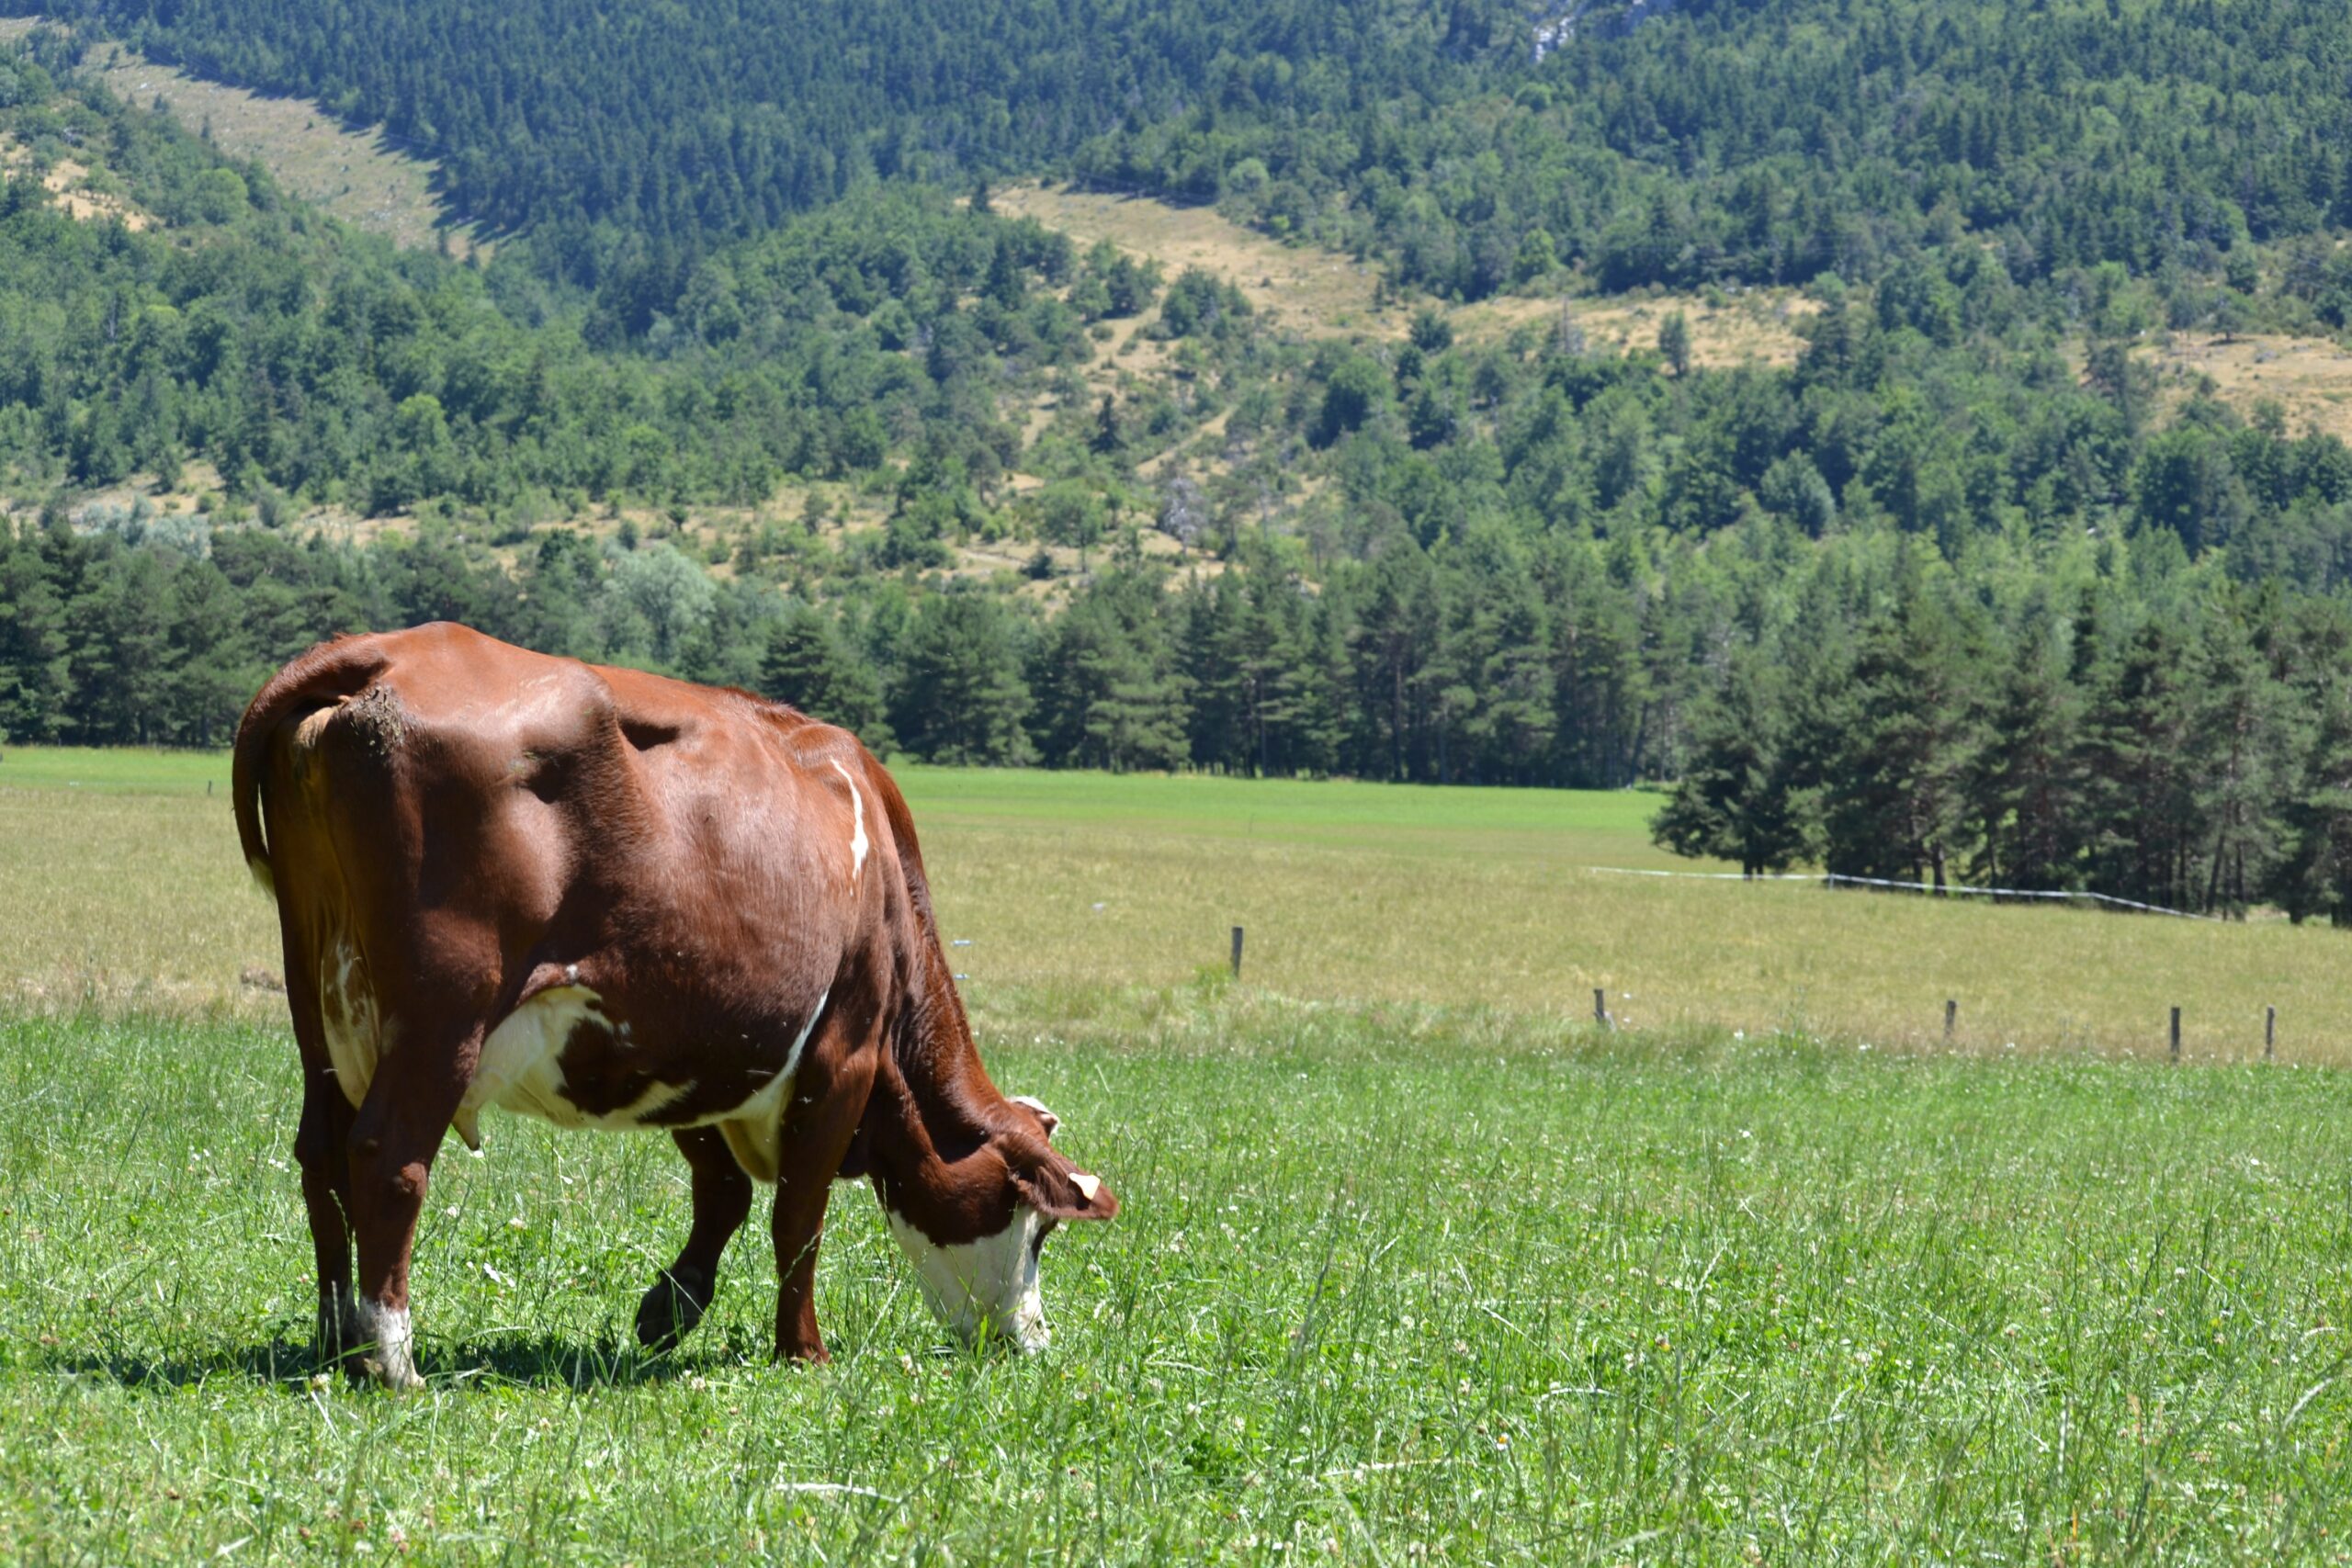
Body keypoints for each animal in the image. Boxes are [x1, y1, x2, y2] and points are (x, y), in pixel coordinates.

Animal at [231, 623, 1117, 1389]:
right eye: (1036, 1226)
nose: (1030, 1340)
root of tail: (385, 651)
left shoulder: (688, 1048)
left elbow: (721, 1191)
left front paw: (668, 1307)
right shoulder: (842, 1055)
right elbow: (798, 1218)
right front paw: (803, 1349)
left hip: (315, 992)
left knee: (323, 1154)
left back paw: (336, 1336)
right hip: (444, 1011)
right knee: (387, 1156)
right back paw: (391, 1360)